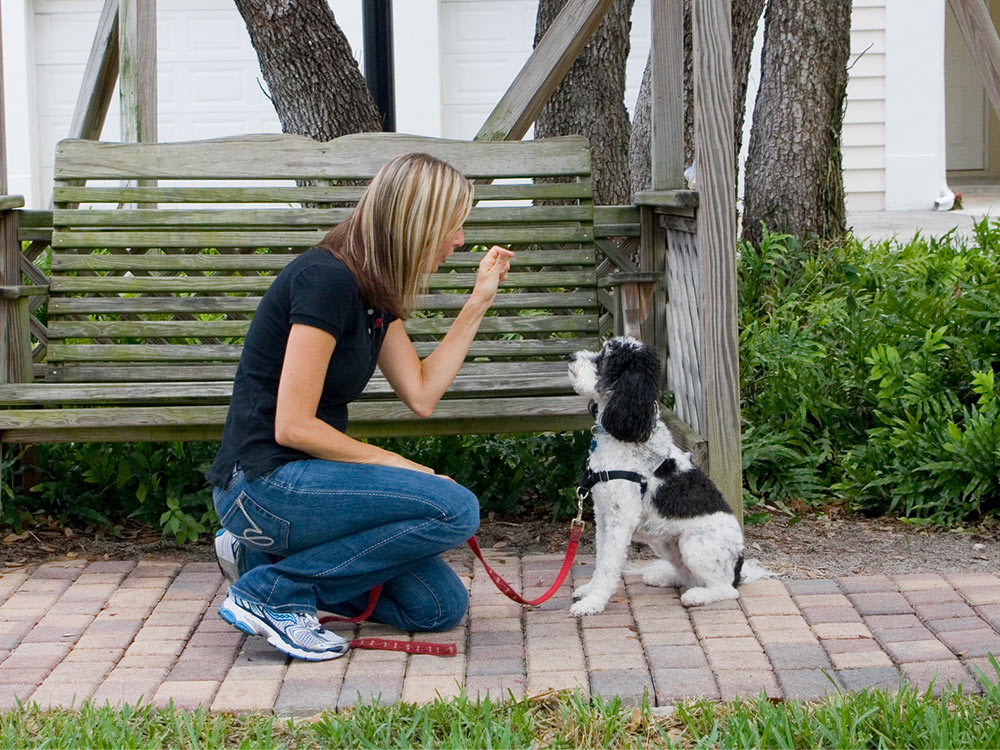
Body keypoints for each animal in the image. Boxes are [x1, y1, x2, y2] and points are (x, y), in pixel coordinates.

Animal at [568, 338, 752, 612]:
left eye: (605, 359)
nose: (570, 357)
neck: (628, 436)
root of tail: (739, 565)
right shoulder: (603, 514)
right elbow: (601, 558)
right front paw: (590, 590)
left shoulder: (621, 518)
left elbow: (609, 565)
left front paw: (593, 602)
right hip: (666, 544)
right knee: (689, 576)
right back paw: (665, 576)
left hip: (694, 544)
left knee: (726, 589)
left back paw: (698, 596)